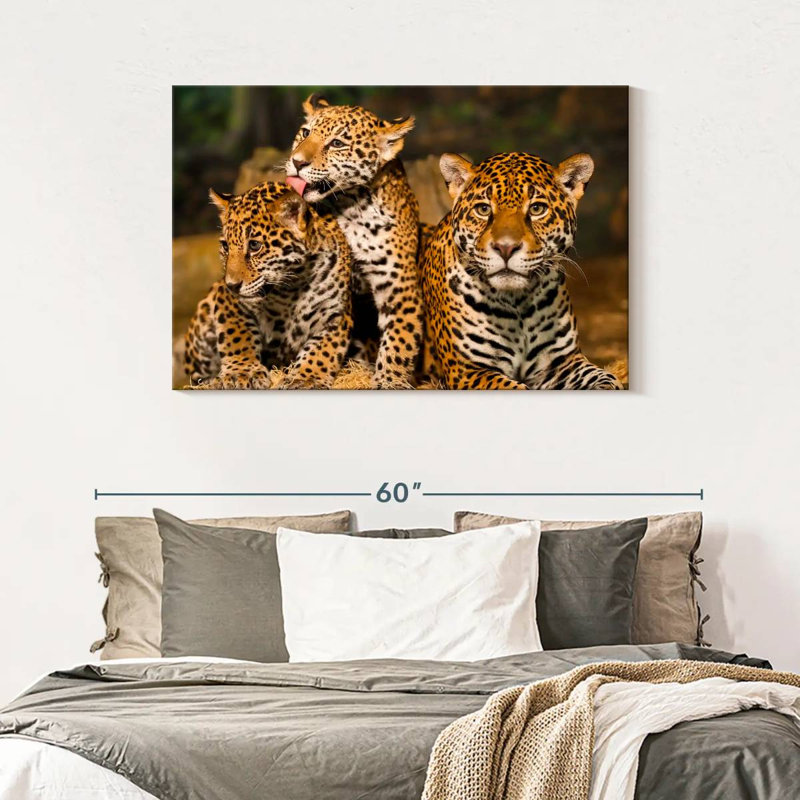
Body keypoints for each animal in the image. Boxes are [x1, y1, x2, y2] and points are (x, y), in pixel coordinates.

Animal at [184, 181, 353, 389]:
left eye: (255, 246)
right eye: (225, 246)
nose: (232, 285)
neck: (292, 286)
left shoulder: (336, 315)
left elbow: (322, 351)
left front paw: (306, 378)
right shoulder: (228, 301)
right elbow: (237, 335)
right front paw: (242, 372)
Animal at [285, 94, 423, 389]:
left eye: (337, 143)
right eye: (305, 133)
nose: (297, 162)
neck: (352, 207)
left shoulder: (400, 286)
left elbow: (400, 339)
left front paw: (390, 380)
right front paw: (305, 376)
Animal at [420, 151, 623, 390]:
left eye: (537, 209)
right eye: (483, 209)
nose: (506, 248)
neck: (517, 303)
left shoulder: (562, 362)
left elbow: (605, 378)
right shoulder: (467, 371)